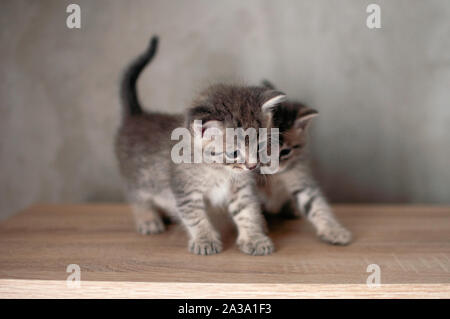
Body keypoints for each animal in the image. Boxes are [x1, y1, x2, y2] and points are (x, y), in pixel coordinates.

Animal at [114, 37, 286, 256]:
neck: (218, 170)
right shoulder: (185, 191)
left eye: (260, 145)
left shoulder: (241, 188)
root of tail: (137, 116)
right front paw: (205, 241)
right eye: (234, 152)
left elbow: (247, 211)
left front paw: (254, 238)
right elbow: (195, 217)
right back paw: (148, 219)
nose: (253, 166)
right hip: (137, 180)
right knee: (138, 198)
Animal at [256, 80, 352, 245]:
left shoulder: (298, 174)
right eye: (260, 149)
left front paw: (334, 230)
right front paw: (259, 226)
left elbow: (316, 204)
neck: (275, 178)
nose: (271, 167)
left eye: (285, 152)